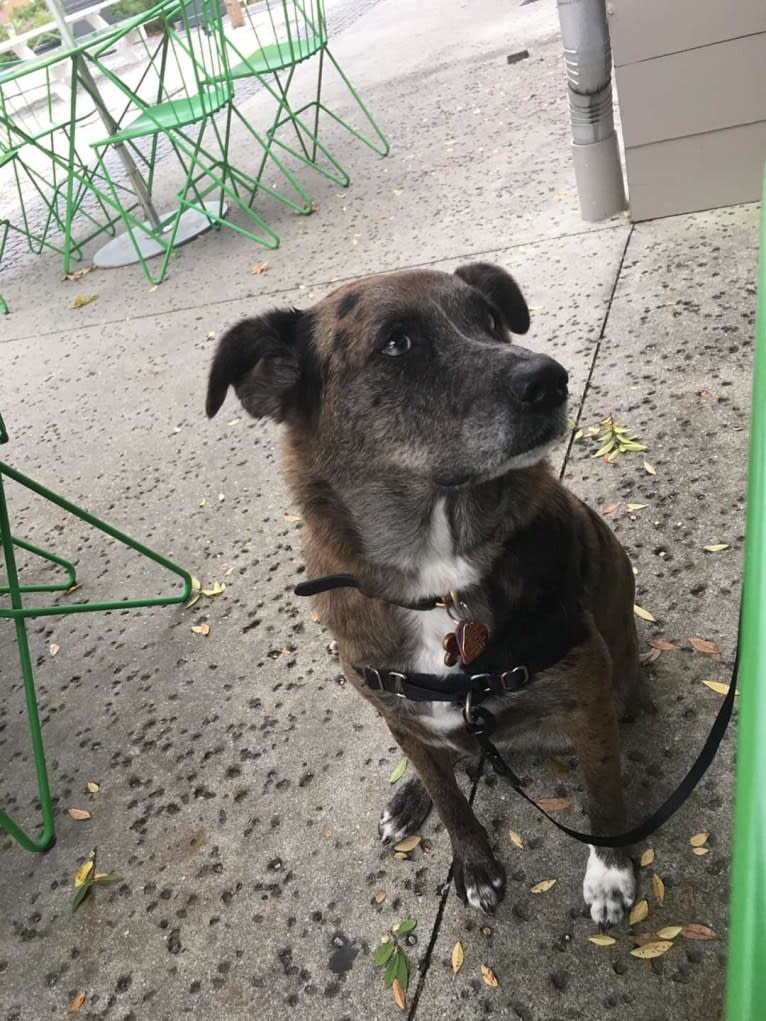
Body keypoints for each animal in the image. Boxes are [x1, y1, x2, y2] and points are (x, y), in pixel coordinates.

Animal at [205, 263, 641, 927]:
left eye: (489, 319)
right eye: (397, 343)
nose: (550, 380)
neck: (439, 579)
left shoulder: (588, 696)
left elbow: (605, 791)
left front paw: (611, 871)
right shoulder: (397, 712)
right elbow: (450, 797)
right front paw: (473, 861)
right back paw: (412, 795)